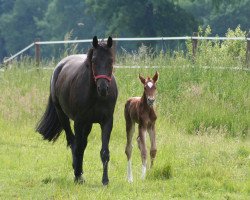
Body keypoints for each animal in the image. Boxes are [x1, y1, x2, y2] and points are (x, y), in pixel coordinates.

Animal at [36, 36, 118, 186]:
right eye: (94, 61)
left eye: (111, 60)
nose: (103, 88)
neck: (95, 95)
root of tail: (60, 66)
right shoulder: (79, 122)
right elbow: (78, 147)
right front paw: (78, 176)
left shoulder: (107, 122)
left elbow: (104, 152)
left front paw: (105, 180)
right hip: (64, 117)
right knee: (73, 142)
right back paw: (77, 172)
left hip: (88, 124)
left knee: (82, 144)